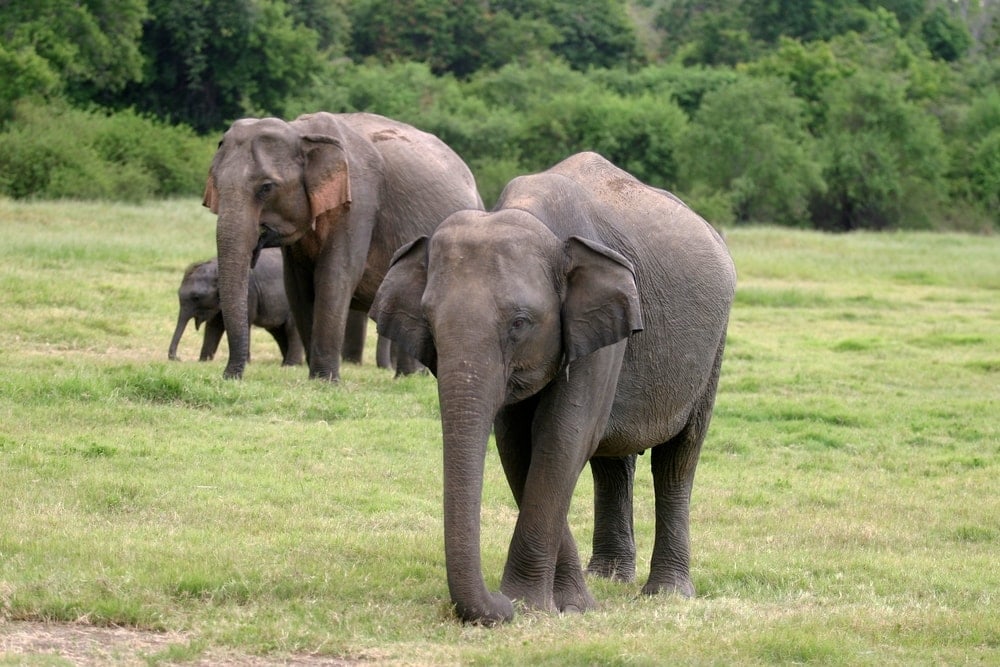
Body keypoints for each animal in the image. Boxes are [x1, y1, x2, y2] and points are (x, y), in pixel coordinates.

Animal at [202, 111, 483, 381]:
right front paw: (315, 378)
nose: (229, 377)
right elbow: (297, 286)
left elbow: (335, 275)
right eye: (215, 183)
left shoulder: (359, 201)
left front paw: (325, 380)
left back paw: (410, 378)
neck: (301, 131)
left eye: (266, 187)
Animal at [371, 152, 736, 625]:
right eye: (429, 322)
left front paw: (534, 604)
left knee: (678, 458)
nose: (499, 605)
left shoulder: (603, 327)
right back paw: (608, 577)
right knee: (612, 462)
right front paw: (570, 604)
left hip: (714, 347)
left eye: (519, 323)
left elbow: (561, 436)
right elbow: (517, 445)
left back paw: (667, 593)